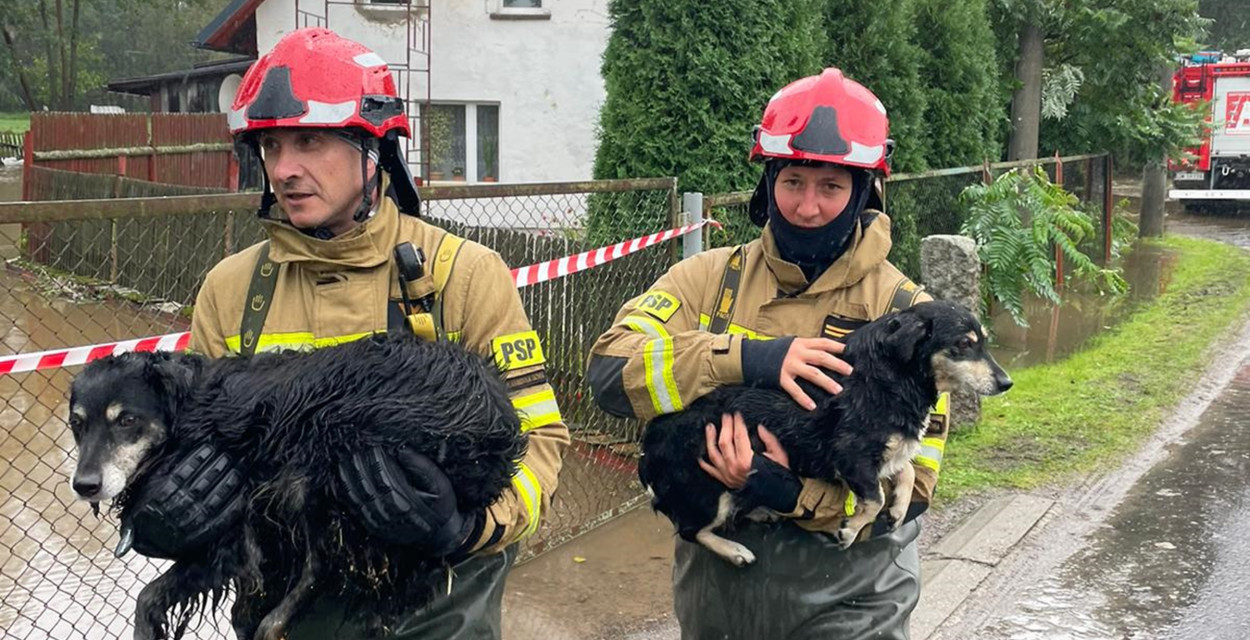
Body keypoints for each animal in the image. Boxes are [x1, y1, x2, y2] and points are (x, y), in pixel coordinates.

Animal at [65, 335, 525, 640]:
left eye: (127, 420)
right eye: (77, 423)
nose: (84, 485)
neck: (186, 410)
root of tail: (493, 414)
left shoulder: (231, 534)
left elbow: (156, 593)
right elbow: (150, 597)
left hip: (333, 462)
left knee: (320, 569)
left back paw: (274, 624)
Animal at [640, 300, 1010, 565]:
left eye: (983, 342)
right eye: (964, 344)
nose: (1007, 383)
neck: (889, 375)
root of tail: (646, 451)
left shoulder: (883, 453)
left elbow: (904, 471)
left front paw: (899, 509)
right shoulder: (850, 454)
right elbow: (875, 497)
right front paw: (850, 529)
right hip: (706, 490)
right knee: (691, 531)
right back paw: (735, 550)